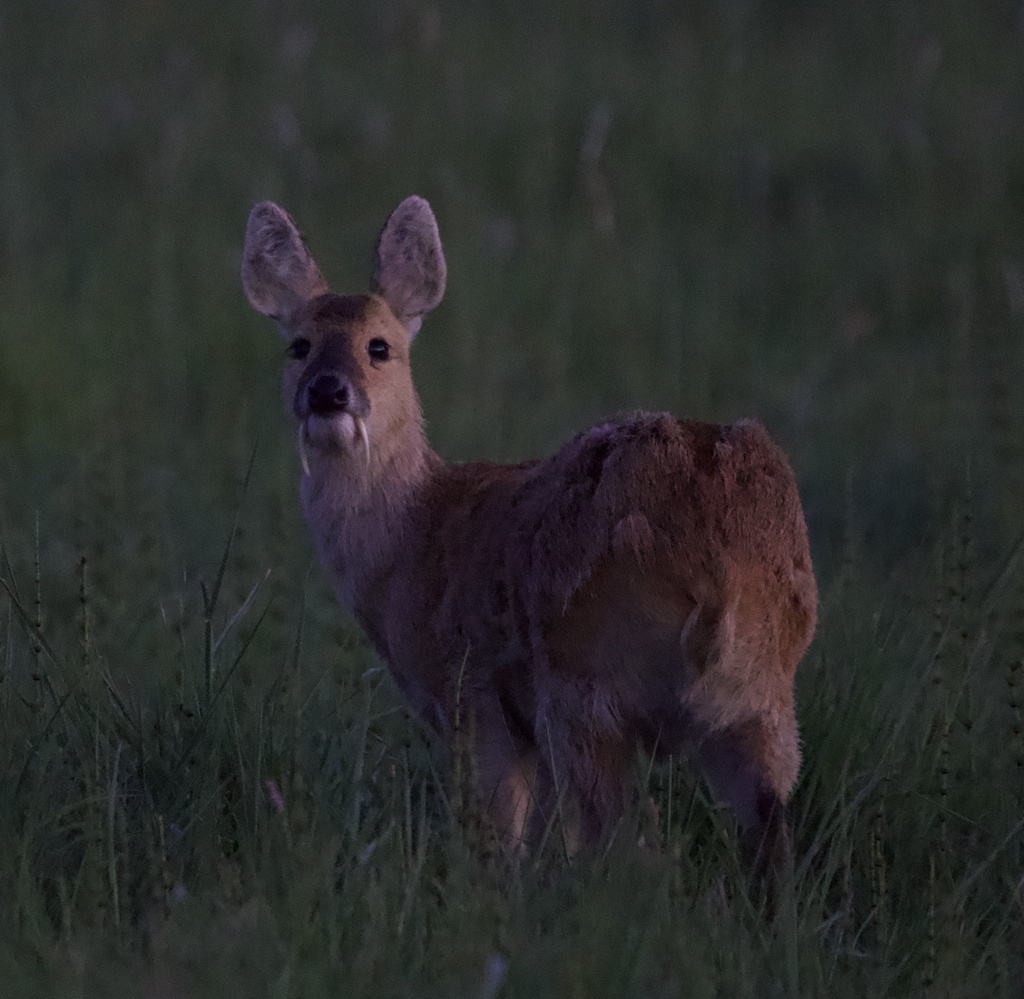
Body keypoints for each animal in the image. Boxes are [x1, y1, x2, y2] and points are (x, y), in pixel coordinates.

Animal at [241, 196, 818, 889]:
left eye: (380, 347)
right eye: (298, 345)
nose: (327, 389)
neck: (412, 539)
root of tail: (718, 570)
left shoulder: (473, 702)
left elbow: (499, 838)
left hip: (584, 684)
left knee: (621, 839)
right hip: (764, 696)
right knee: (768, 835)